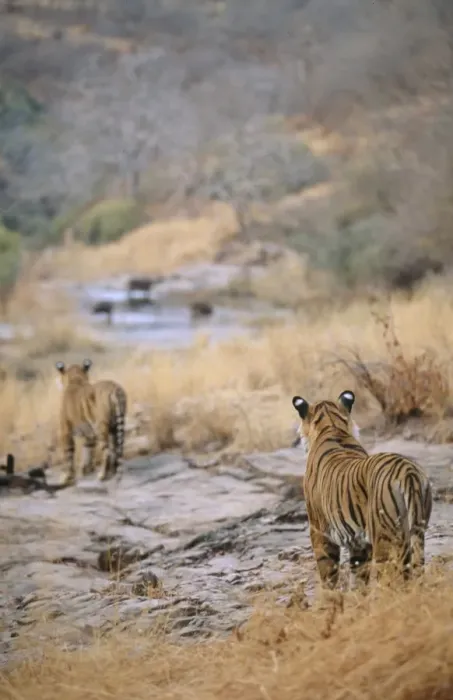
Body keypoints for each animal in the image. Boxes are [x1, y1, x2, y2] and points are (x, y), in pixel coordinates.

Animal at [292, 390, 432, 590]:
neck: (332, 426)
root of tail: (408, 472)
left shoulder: (319, 531)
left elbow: (328, 576)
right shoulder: (359, 544)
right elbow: (359, 578)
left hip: (386, 541)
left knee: (391, 582)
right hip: (417, 532)